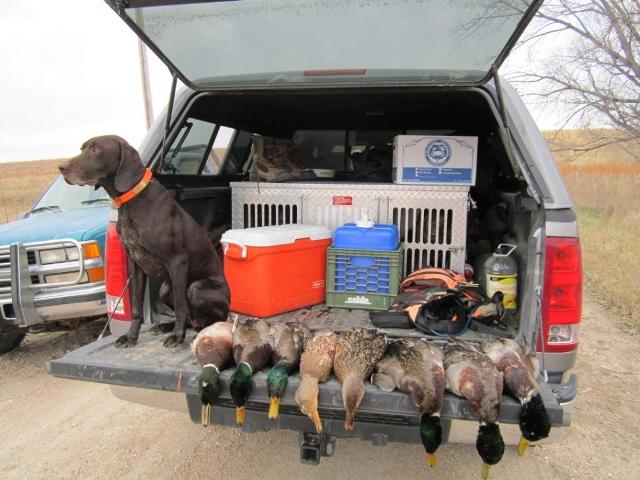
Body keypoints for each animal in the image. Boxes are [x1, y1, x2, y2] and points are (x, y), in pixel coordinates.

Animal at [58, 137, 230, 346]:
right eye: (82, 148)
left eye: (95, 149)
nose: (61, 167)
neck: (132, 200)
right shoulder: (136, 264)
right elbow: (136, 308)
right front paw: (131, 336)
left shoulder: (177, 260)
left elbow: (181, 306)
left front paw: (178, 336)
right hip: (165, 290)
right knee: (191, 318)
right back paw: (165, 326)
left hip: (196, 288)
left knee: (210, 321)